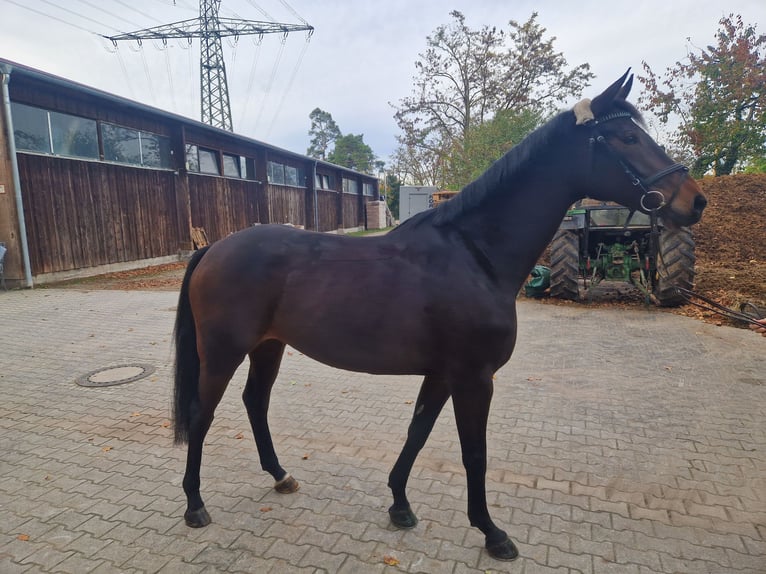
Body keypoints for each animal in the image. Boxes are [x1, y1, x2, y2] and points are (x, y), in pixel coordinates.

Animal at [172, 71, 707, 561]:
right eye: (628, 138)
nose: (695, 201)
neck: (473, 254)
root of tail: (213, 248)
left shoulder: (443, 374)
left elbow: (418, 431)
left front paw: (400, 505)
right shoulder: (474, 376)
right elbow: (474, 454)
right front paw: (492, 533)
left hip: (269, 346)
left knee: (255, 403)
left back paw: (281, 476)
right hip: (223, 351)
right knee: (202, 412)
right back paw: (195, 505)